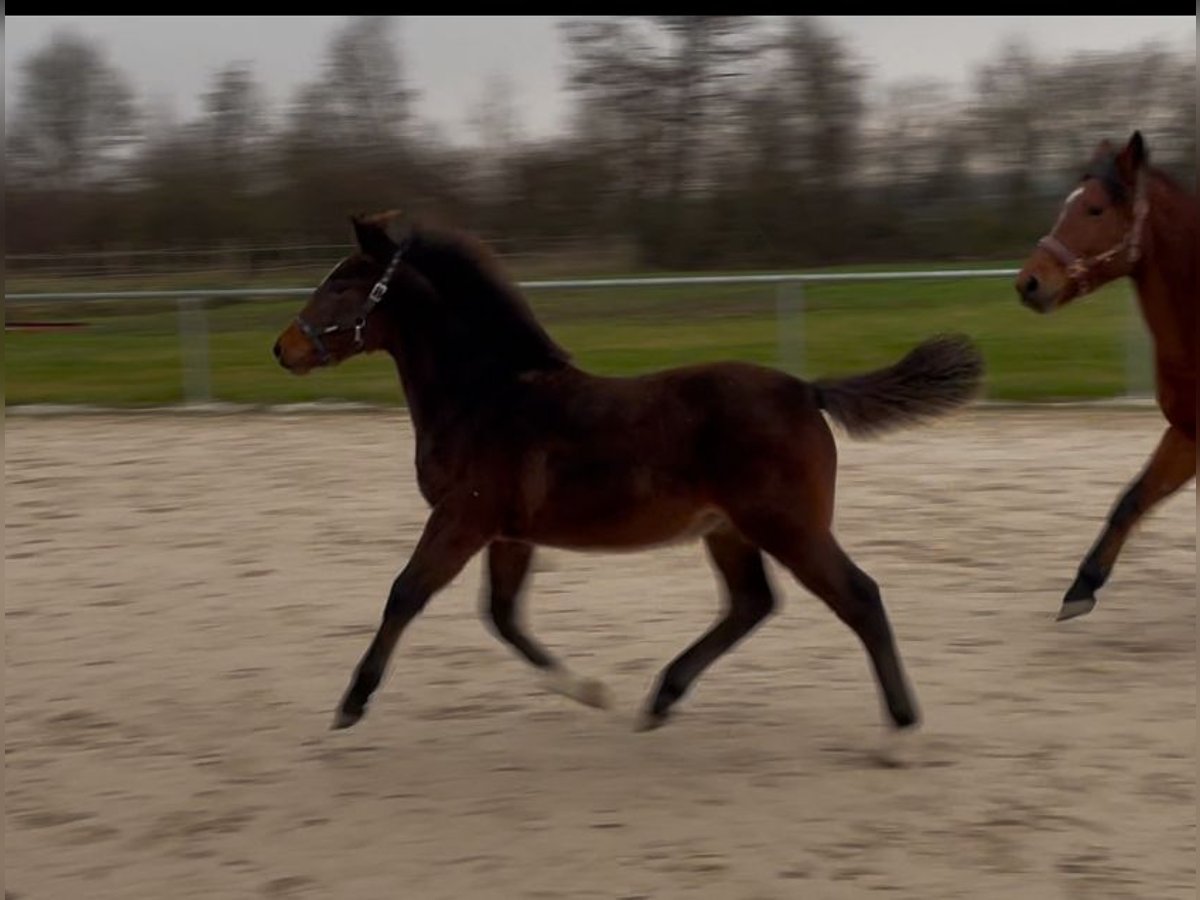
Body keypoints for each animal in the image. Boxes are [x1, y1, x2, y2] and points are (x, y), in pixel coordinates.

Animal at [274, 213, 984, 739]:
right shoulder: (507, 533)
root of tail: (807, 390)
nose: (284, 348)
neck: (487, 396)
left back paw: (900, 728)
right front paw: (589, 690)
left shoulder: (462, 517)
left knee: (857, 595)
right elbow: (503, 615)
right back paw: (661, 698)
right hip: (729, 530)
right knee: (751, 603)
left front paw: (351, 703)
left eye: (343, 285)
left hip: (786, 525)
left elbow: (406, 594)